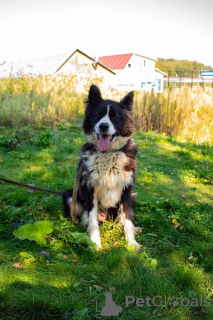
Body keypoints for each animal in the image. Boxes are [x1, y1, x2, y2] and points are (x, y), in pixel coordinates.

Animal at [62, 85, 141, 250]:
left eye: (115, 117)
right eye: (98, 114)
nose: (103, 126)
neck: (108, 154)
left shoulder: (126, 191)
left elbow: (128, 219)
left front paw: (131, 242)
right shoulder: (90, 189)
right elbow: (92, 220)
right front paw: (94, 242)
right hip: (70, 195)